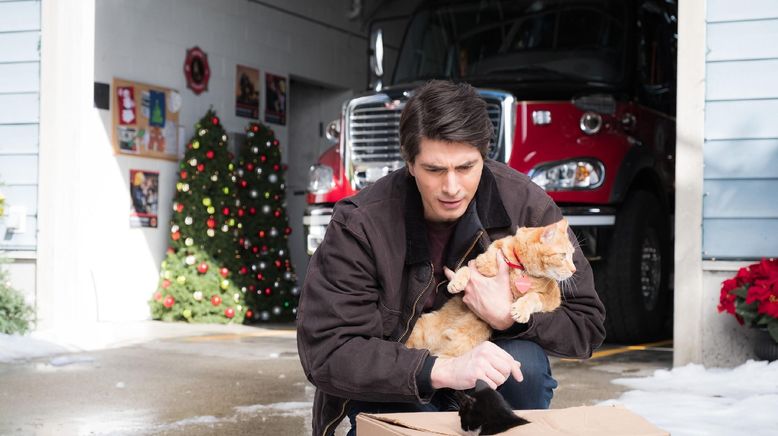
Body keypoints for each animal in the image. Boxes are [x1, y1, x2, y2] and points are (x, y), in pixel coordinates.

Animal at [404, 218, 572, 358]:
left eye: (571, 255)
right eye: (563, 255)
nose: (574, 270)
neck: (520, 267)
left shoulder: (552, 299)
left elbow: (533, 296)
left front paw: (521, 310)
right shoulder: (479, 263)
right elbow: (466, 269)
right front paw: (456, 282)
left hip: (457, 349)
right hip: (418, 330)